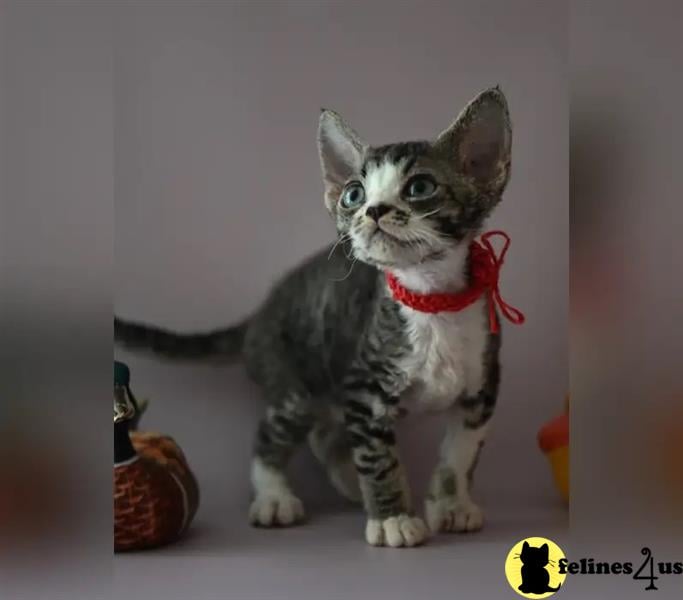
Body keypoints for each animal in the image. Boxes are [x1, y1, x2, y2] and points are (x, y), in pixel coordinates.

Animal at [116, 85, 512, 548]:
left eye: (420, 187)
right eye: (354, 194)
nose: (374, 210)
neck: (432, 300)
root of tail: (260, 314)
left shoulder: (481, 387)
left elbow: (459, 455)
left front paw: (452, 504)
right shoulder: (365, 387)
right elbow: (377, 457)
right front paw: (392, 517)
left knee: (326, 435)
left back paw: (350, 482)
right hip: (294, 386)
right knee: (271, 437)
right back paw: (274, 496)